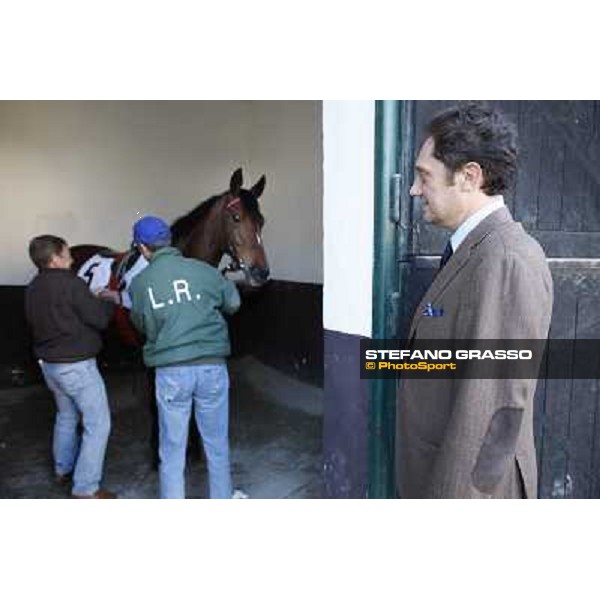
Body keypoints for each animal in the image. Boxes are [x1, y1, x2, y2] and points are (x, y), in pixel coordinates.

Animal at [68, 168, 270, 468]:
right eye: (236, 218)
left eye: (261, 221)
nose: (260, 272)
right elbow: (156, 401)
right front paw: (158, 453)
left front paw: (194, 448)